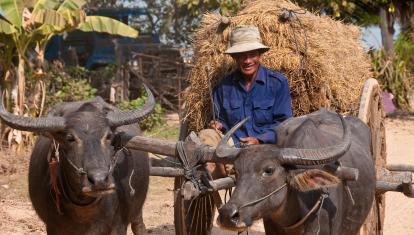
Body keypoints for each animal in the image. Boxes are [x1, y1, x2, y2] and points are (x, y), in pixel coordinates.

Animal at [0, 86, 154, 235]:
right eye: (70, 138)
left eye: (109, 136)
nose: (99, 180)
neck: (84, 210)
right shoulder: (52, 227)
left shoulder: (119, 226)